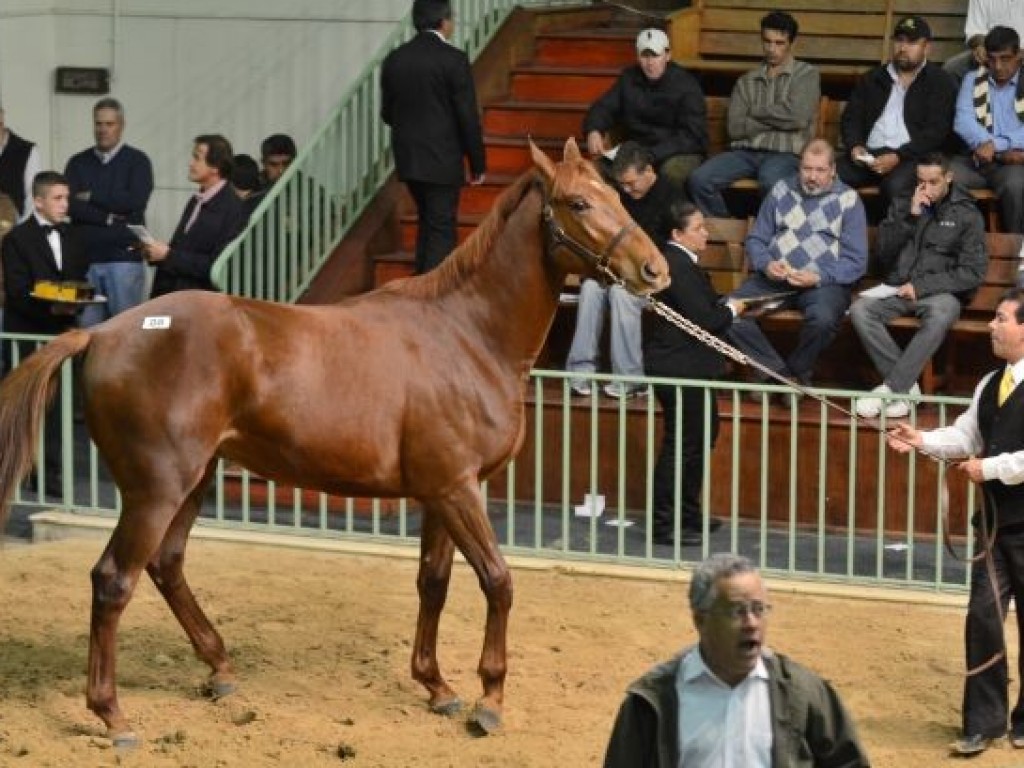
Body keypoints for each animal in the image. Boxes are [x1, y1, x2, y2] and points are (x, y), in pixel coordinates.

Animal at [0, 138, 667, 745]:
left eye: (617, 195)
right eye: (579, 201)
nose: (655, 271)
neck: (466, 333)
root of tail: (106, 332)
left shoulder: (443, 492)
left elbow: (434, 583)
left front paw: (438, 687)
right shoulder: (457, 491)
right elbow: (498, 582)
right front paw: (489, 700)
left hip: (195, 480)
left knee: (166, 566)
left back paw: (220, 670)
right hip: (156, 490)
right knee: (114, 581)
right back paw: (113, 716)